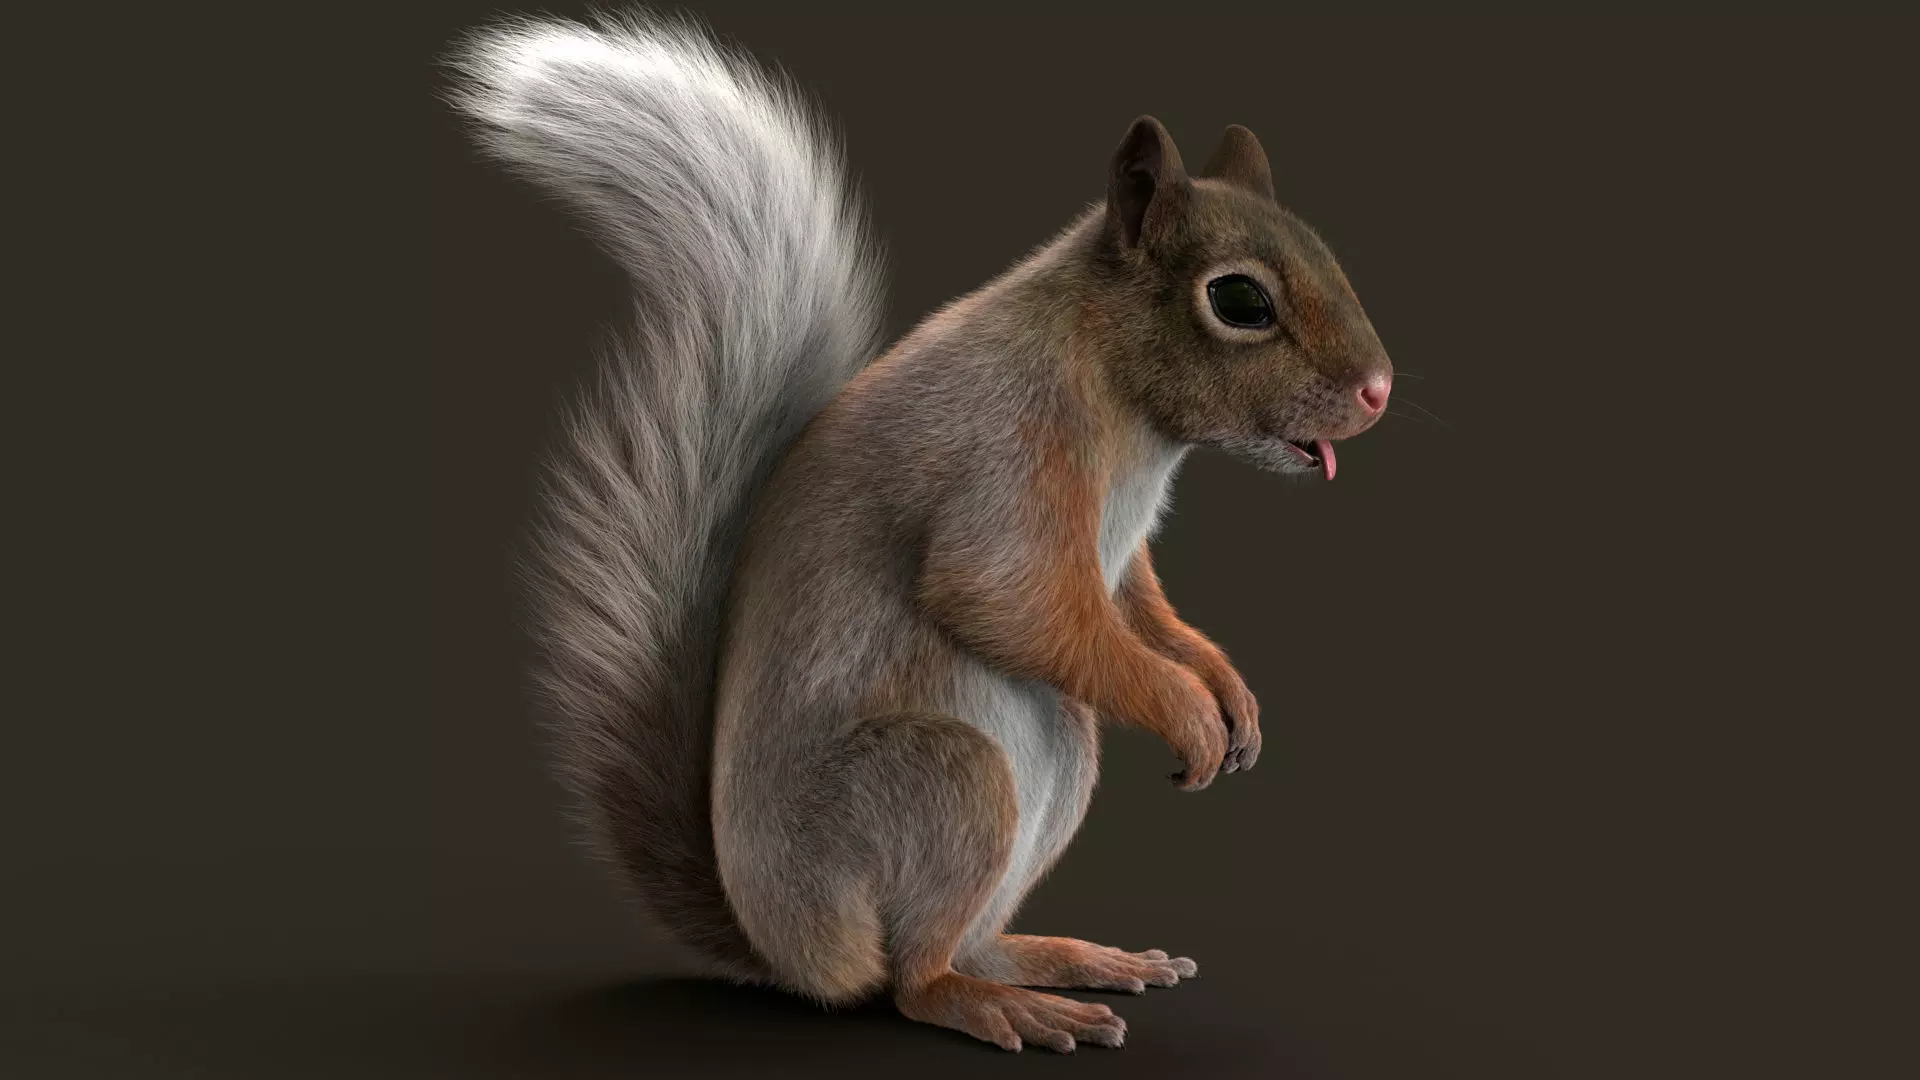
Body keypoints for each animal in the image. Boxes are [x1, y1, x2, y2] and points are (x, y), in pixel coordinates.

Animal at [452, 13, 1393, 1053]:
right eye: (1239, 301)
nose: (1379, 391)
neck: (1117, 390)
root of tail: (787, 950)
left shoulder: (1112, 565)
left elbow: (1137, 606)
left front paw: (1228, 691)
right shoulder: (1007, 454)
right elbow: (1004, 596)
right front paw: (1188, 709)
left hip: (1054, 765)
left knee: (962, 939)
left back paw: (1059, 958)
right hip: (942, 780)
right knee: (911, 981)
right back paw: (989, 1003)